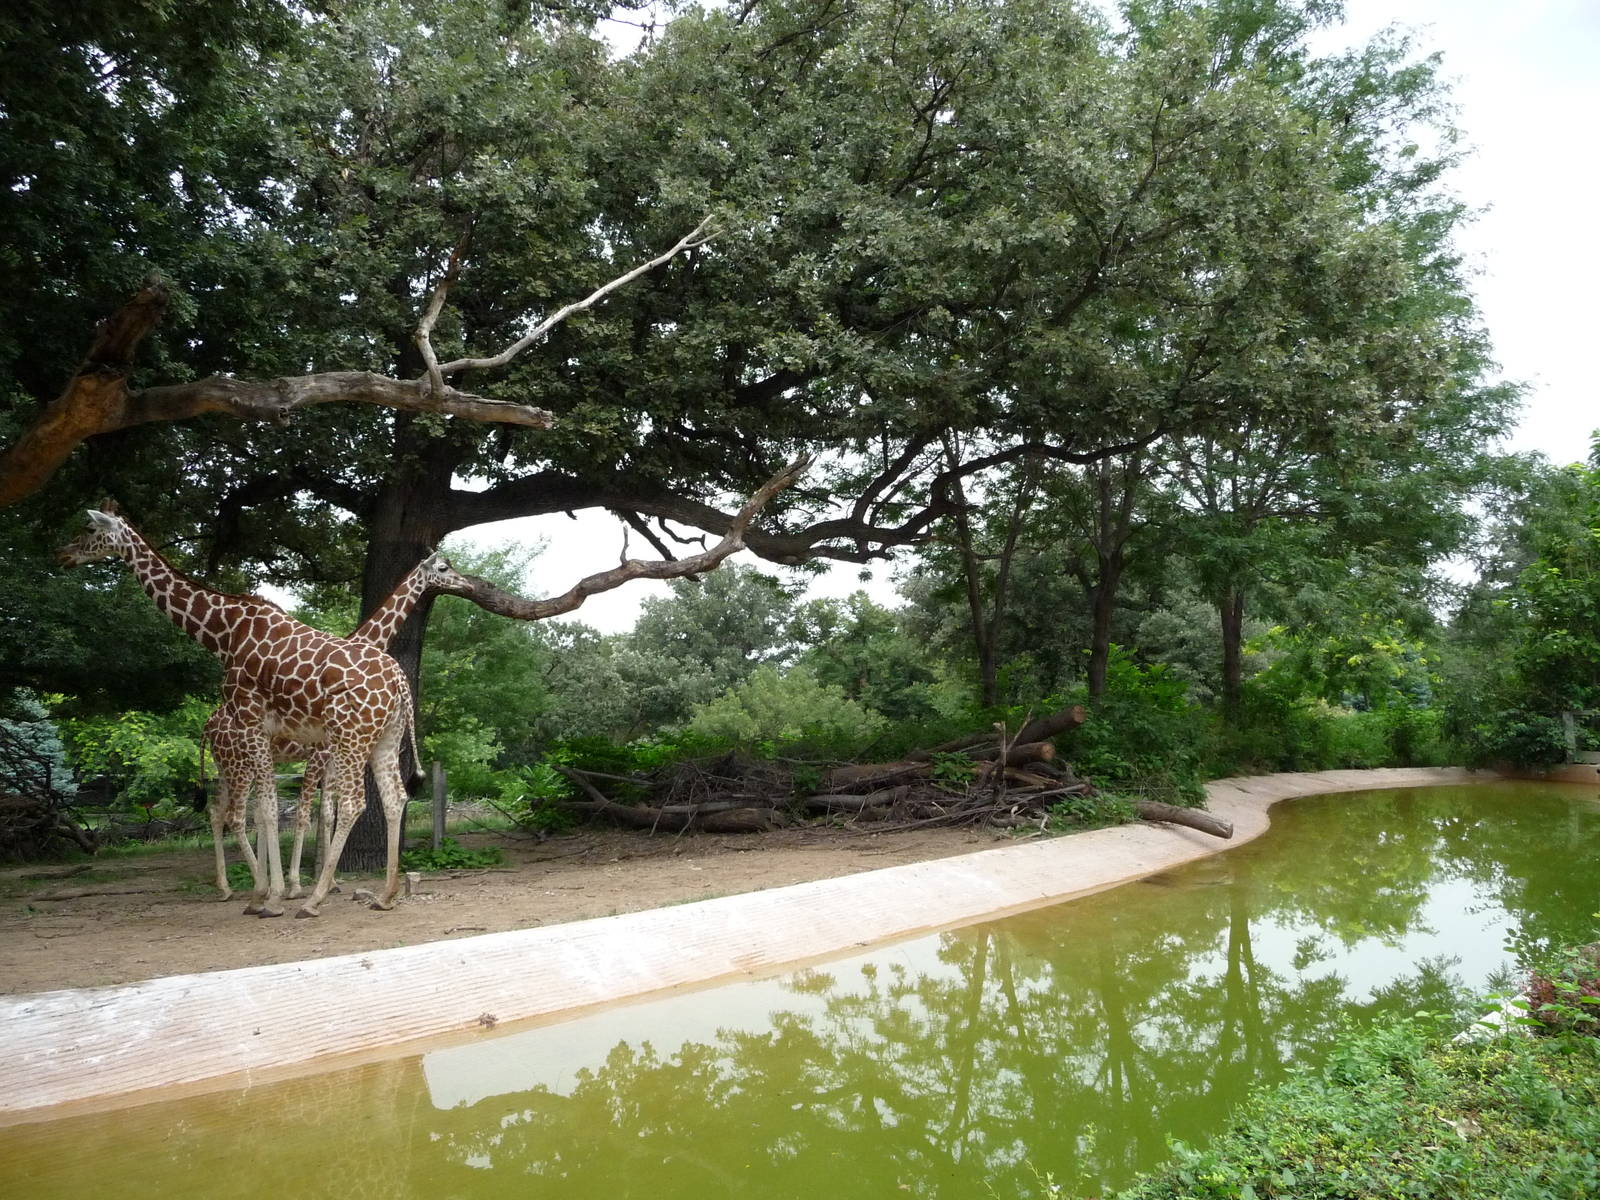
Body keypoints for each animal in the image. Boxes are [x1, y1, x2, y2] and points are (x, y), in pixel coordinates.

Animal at [59, 510, 417, 918]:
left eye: (89, 529)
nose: (63, 554)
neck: (223, 632)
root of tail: (400, 683)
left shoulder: (253, 720)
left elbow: (269, 810)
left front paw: (271, 896)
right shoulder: (270, 733)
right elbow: (267, 810)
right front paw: (268, 892)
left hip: (349, 736)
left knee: (350, 802)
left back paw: (313, 899)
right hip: (381, 737)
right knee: (393, 797)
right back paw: (384, 895)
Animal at [202, 552, 471, 901]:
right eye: (443, 568)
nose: (467, 583)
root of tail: (208, 725)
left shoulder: (331, 757)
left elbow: (325, 813)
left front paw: (326, 882)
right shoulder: (322, 755)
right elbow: (309, 814)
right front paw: (299, 884)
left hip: (228, 766)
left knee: (221, 811)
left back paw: (229, 886)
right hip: (240, 764)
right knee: (235, 814)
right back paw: (255, 886)